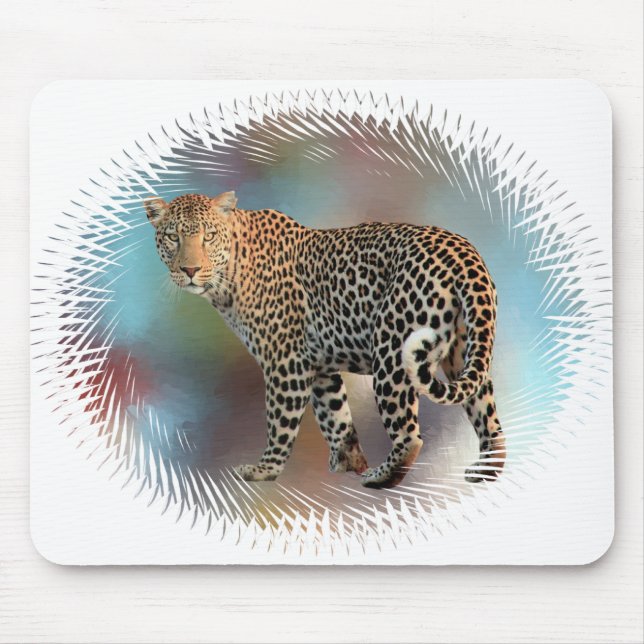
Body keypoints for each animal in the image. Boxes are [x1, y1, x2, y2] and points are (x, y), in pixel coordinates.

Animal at [144, 191, 506, 489]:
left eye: (208, 237)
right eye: (173, 237)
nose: (190, 270)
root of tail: (463, 252)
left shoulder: (285, 362)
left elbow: (280, 421)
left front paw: (264, 470)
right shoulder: (319, 366)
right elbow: (336, 417)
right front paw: (348, 462)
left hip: (392, 352)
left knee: (409, 435)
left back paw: (380, 478)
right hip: (465, 350)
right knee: (487, 416)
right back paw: (485, 471)